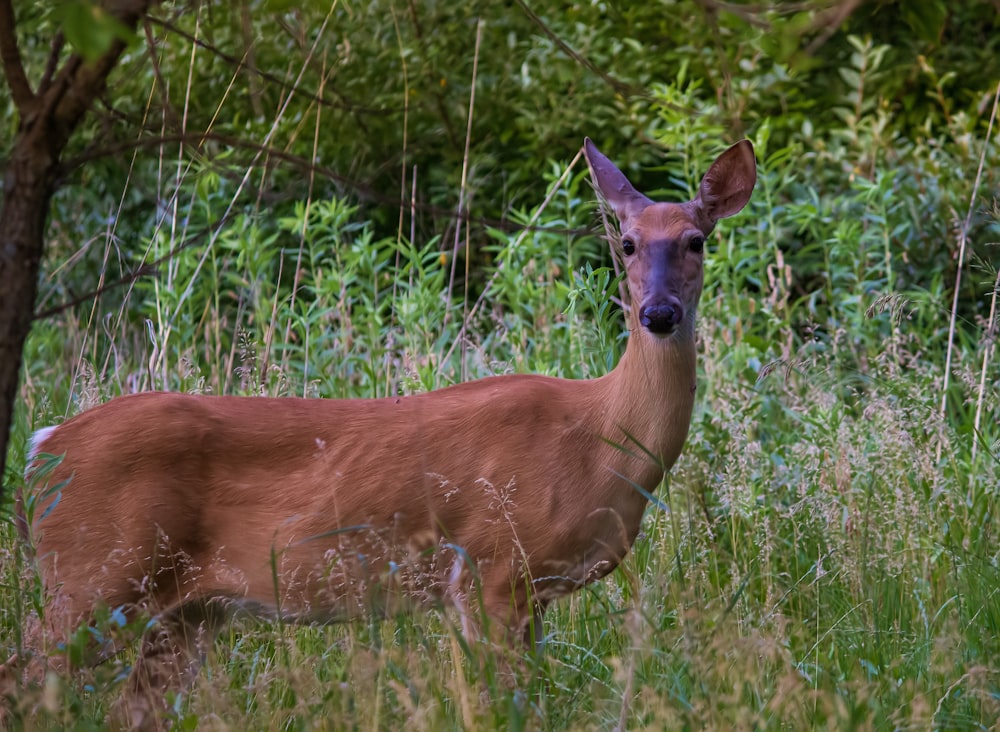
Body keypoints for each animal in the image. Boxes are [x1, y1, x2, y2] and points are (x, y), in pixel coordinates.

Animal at [9, 136, 756, 728]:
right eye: (626, 243)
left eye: (696, 240)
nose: (658, 313)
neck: (599, 436)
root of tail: (43, 448)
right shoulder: (489, 566)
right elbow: (502, 709)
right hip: (94, 577)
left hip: (184, 610)